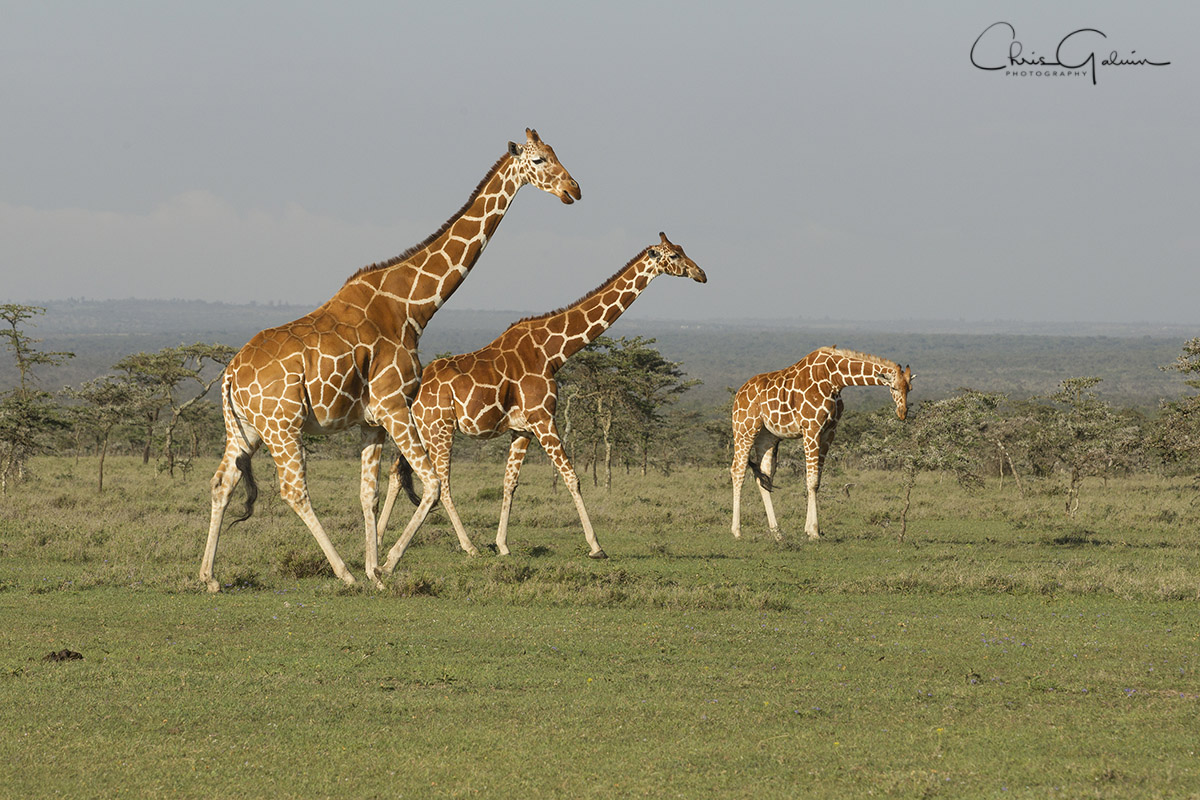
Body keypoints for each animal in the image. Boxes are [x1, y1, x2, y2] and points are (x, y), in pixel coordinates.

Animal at [200, 129, 580, 592]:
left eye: (557, 154)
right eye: (540, 160)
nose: (573, 190)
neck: (413, 306)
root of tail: (229, 375)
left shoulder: (372, 420)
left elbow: (370, 493)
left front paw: (374, 570)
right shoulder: (395, 404)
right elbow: (431, 484)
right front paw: (384, 567)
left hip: (245, 430)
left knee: (222, 483)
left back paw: (209, 576)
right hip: (282, 426)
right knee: (294, 490)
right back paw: (342, 573)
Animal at [375, 232, 706, 566]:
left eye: (683, 250)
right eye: (674, 256)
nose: (701, 274)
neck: (552, 352)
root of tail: (411, 391)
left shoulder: (522, 429)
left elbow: (510, 483)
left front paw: (503, 545)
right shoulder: (544, 418)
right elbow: (572, 477)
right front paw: (596, 546)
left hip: (421, 428)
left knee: (397, 473)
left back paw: (377, 538)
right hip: (440, 428)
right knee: (442, 484)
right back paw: (467, 546)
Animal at [730, 347, 913, 541]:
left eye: (910, 389)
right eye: (893, 387)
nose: (902, 413)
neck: (835, 379)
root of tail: (739, 394)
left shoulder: (828, 432)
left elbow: (817, 481)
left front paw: (809, 529)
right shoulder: (811, 428)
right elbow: (811, 481)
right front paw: (814, 531)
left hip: (767, 437)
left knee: (764, 477)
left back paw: (777, 533)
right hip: (744, 430)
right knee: (737, 471)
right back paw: (737, 531)